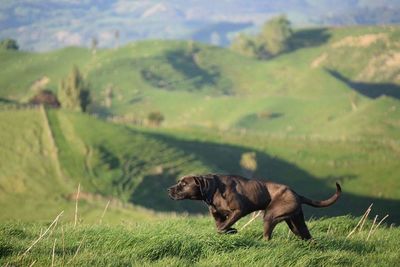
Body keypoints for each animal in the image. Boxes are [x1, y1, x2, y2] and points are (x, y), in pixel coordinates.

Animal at [167, 175, 342, 242]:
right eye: (179, 182)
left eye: (184, 184)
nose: (169, 190)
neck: (213, 189)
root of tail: (297, 194)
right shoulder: (218, 216)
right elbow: (221, 227)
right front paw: (231, 231)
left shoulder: (239, 211)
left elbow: (222, 227)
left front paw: (232, 230)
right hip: (296, 223)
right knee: (308, 237)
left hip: (270, 216)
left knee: (267, 236)